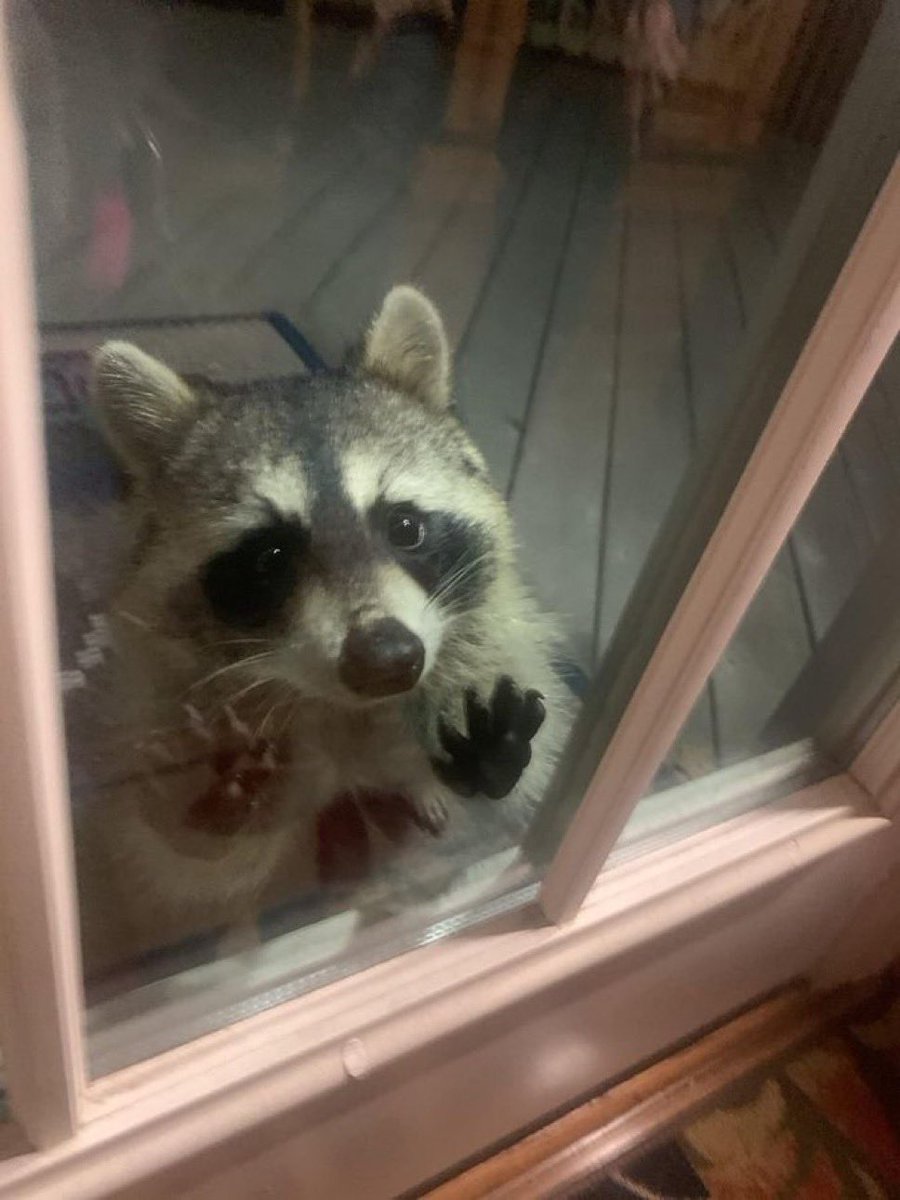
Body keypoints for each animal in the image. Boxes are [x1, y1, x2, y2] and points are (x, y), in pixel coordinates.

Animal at [83, 286, 566, 951]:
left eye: (405, 527)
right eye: (270, 556)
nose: (386, 659)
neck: (347, 708)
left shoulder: (494, 644)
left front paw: (492, 764)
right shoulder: (155, 694)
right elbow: (181, 874)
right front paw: (206, 800)